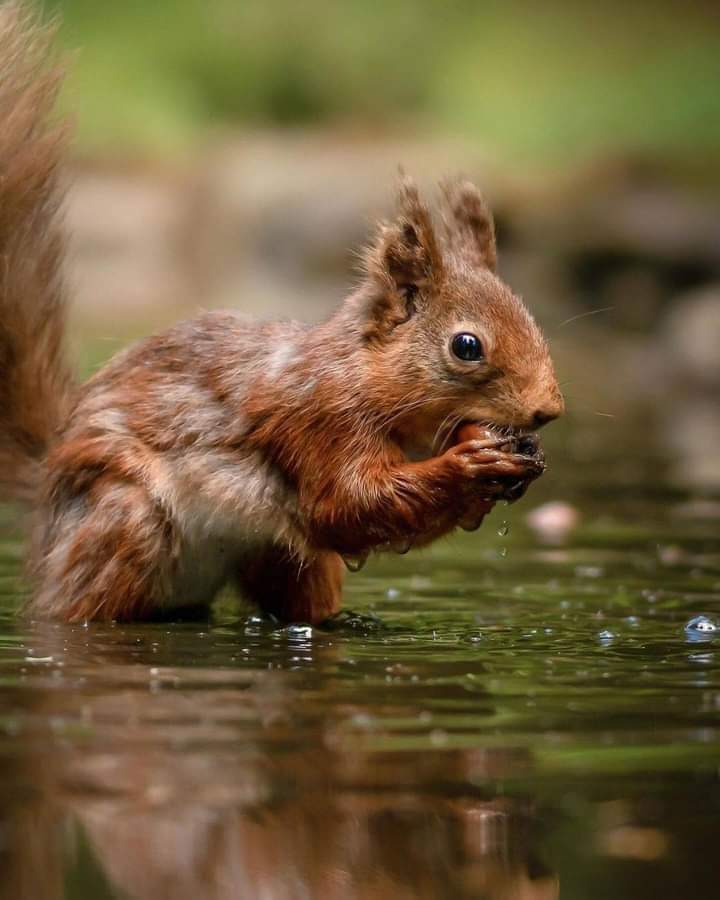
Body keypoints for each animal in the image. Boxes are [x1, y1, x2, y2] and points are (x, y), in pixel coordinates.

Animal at [0, 4, 563, 624]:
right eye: (467, 346)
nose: (548, 409)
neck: (366, 375)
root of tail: (45, 493)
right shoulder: (320, 420)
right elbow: (346, 506)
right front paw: (468, 465)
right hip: (123, 521)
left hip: (287, 563)